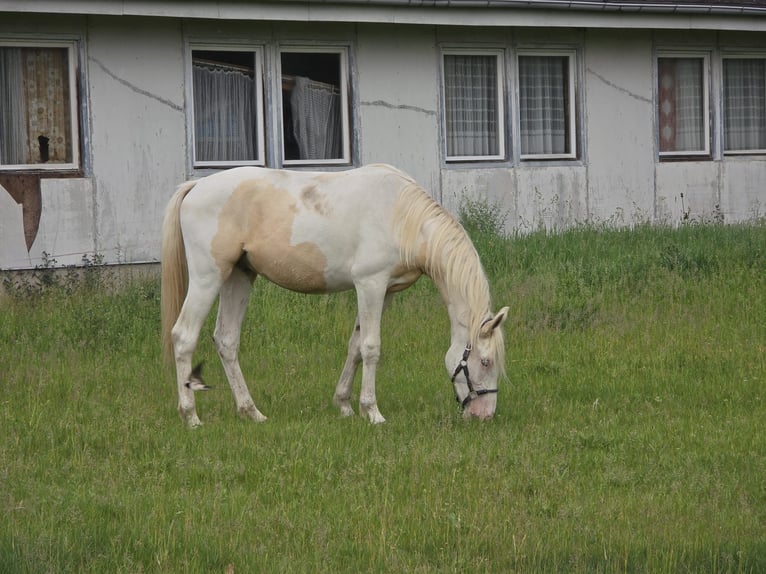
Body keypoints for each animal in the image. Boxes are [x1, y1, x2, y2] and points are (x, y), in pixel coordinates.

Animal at [161, 163, 509, 427]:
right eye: (486, 361)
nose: (484, 416)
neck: (402, 216)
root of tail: (196, 185)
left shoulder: (385, 292)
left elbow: (355, 346)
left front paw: (343, 405)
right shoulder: (370, 284)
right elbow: (371, 347)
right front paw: (372, 412)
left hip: (239, 276)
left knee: (227, 340)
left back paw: (252, 412)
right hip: (208, 277)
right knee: (184, 336)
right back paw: (190, 416)